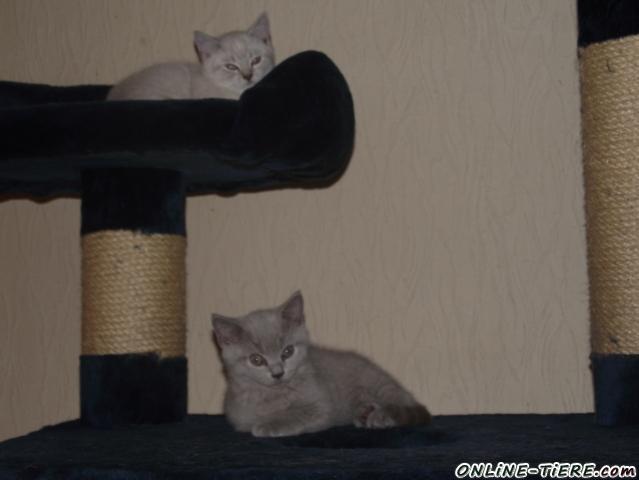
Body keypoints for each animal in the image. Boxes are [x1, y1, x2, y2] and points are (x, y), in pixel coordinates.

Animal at [212, 291, 431, 437]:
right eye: (256, 360)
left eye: (287, 351)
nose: (278, 373)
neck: (274, 395)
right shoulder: (238, 416)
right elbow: (247, 421)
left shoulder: (322, 407)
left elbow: (298, 414)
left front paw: (270, 425)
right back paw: (364, 412)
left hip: (379, 383)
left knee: (405, 403)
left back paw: (380, 415)